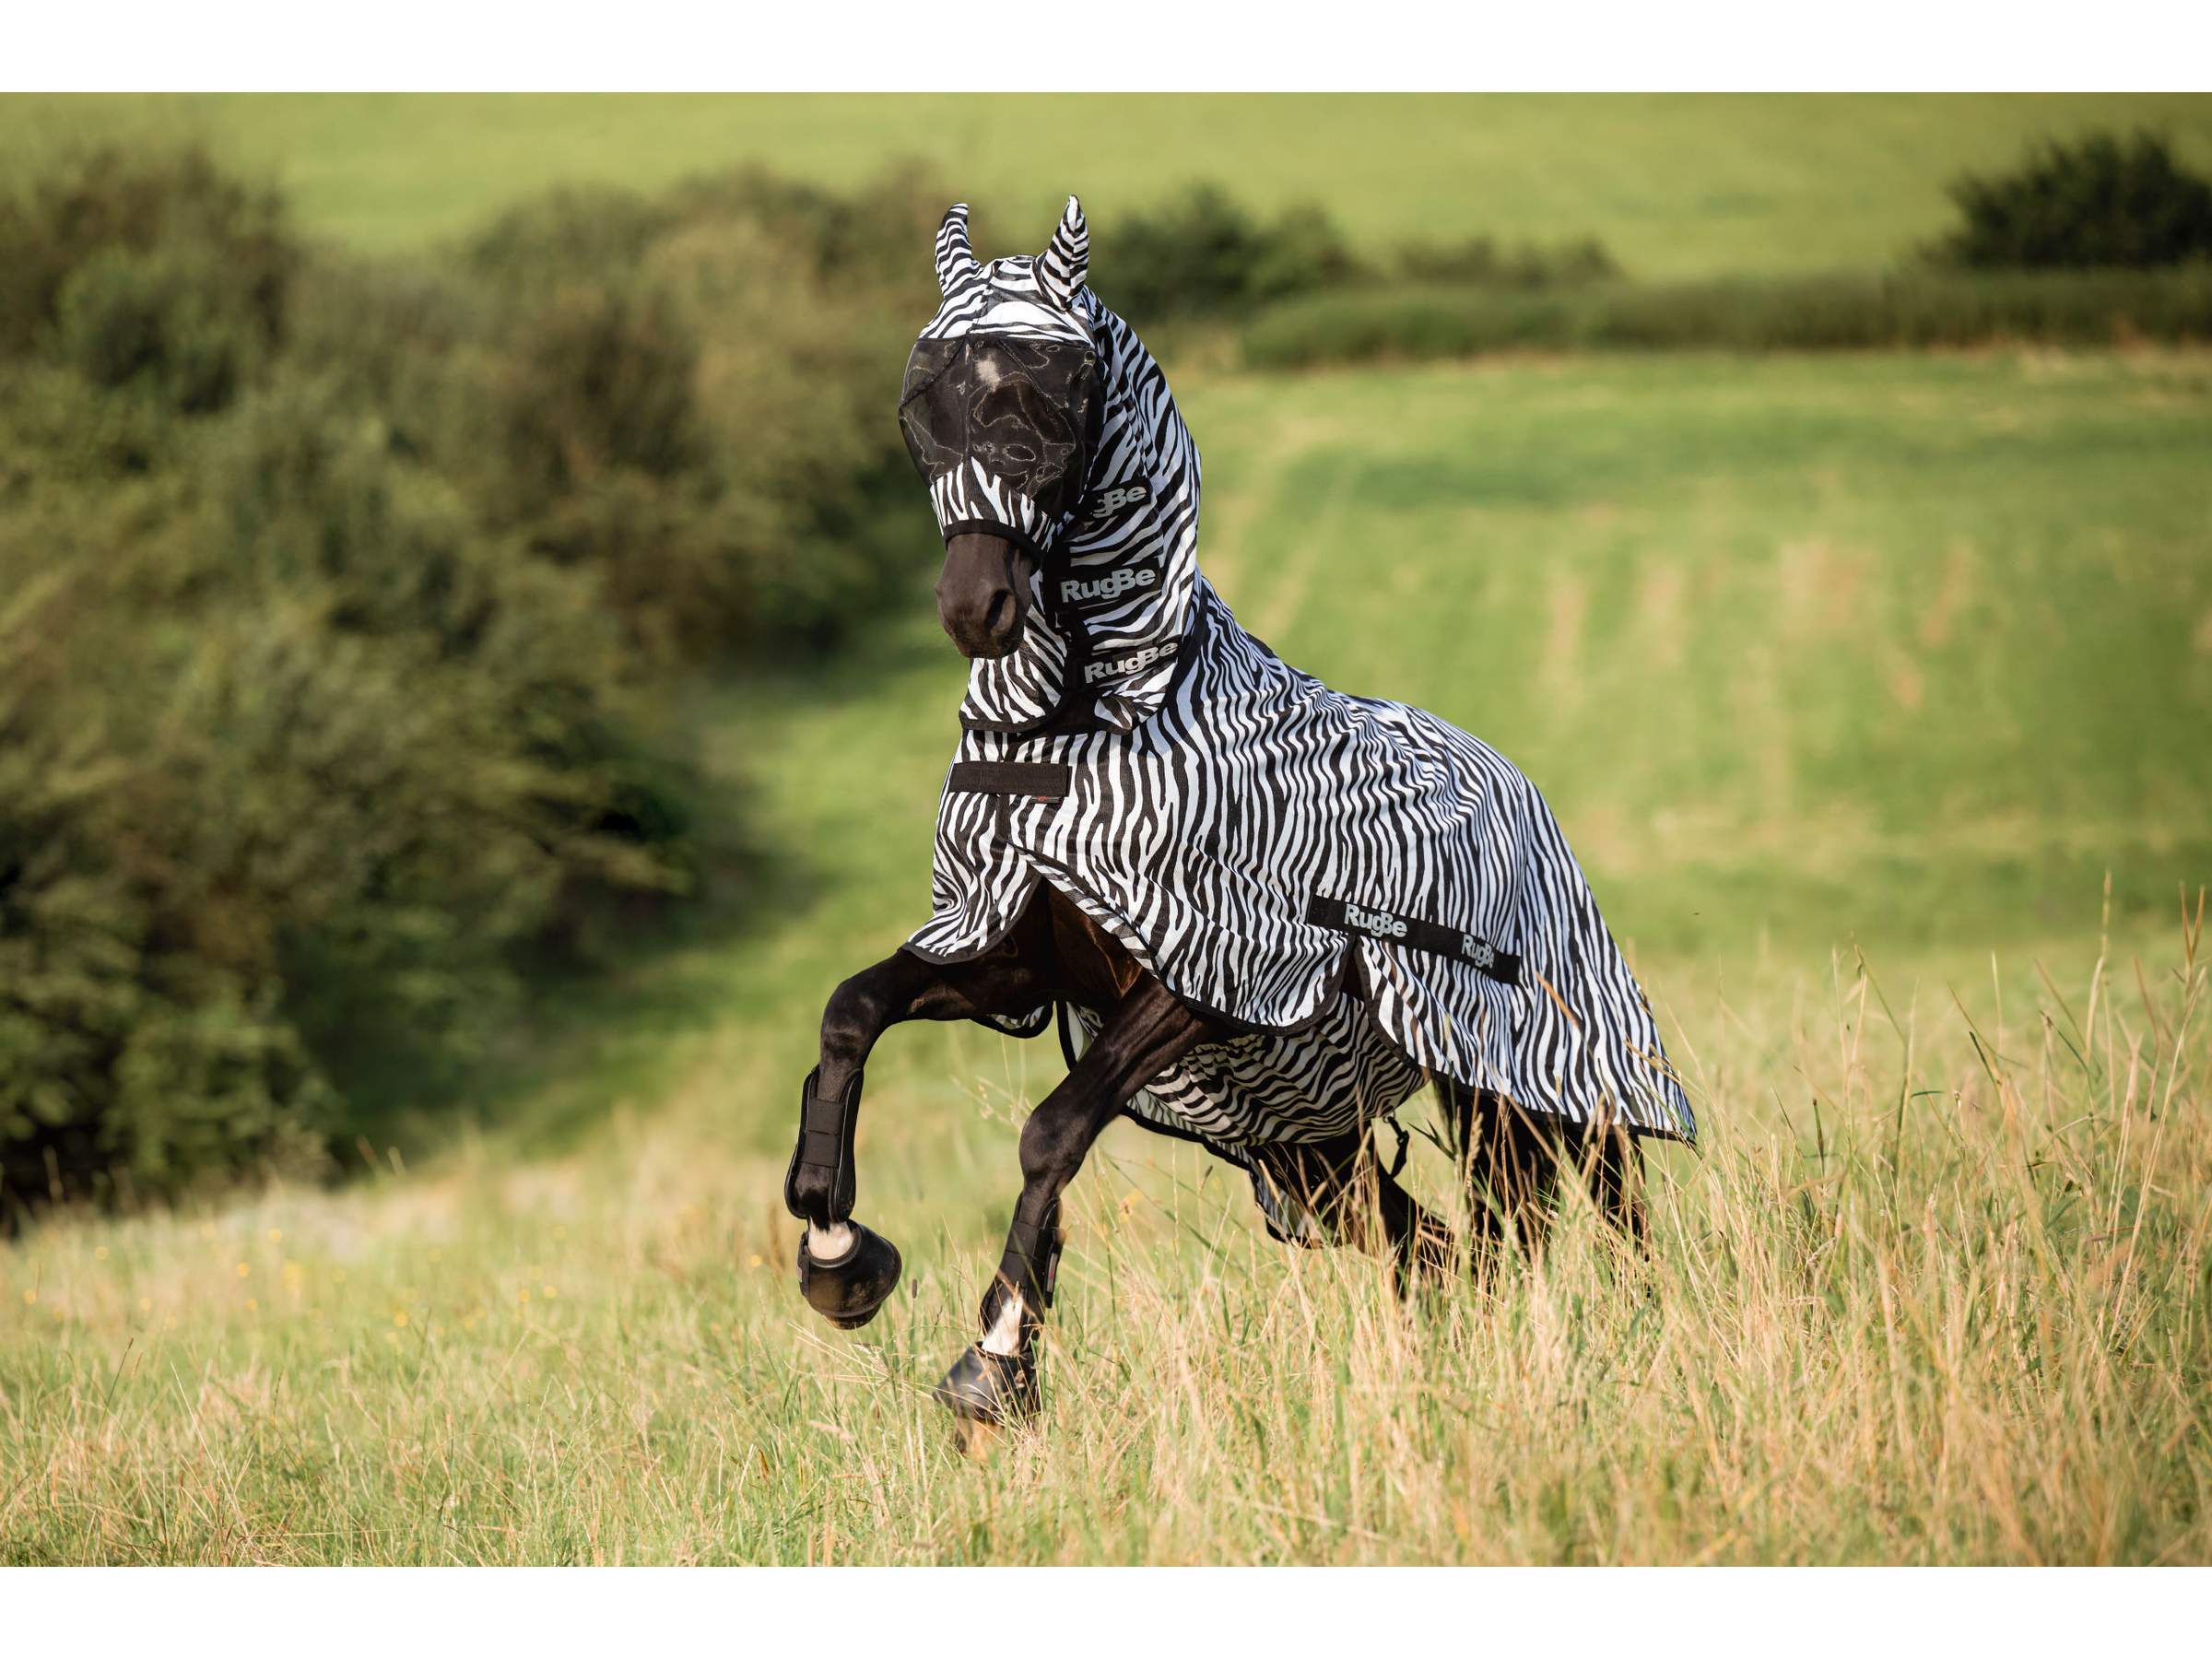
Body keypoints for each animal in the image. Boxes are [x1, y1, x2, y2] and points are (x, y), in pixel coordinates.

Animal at [784, 197, 1696, 1431]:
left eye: (1055, 402)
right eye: (921, 404)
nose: (977, 608)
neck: (1091, 726)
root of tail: (1514, 783)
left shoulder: (1205, 978)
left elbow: (1053, 1129)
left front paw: (997, 1358)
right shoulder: (1017, 957)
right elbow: (853, 1012)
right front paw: (836, 1250)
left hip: (1542, 1085)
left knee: (1611, 1215)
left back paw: (1659, 1344)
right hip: (1317, 1152)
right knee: (1446, 1251)